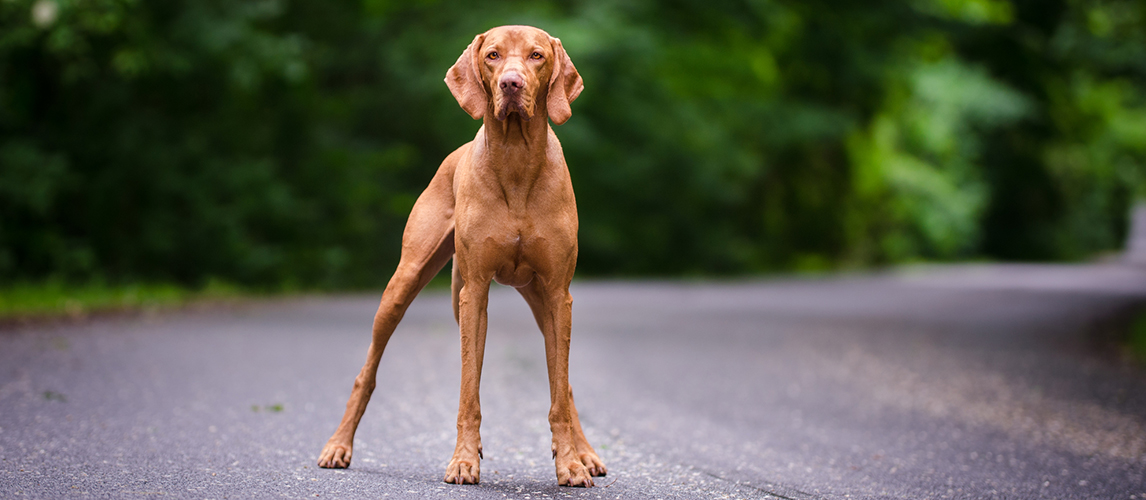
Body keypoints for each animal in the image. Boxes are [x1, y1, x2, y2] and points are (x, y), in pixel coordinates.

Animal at [309, 25, 605, 486]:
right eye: (493, 55)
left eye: (536, 56)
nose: (511, 84)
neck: (517, 160)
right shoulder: (475, 292)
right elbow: (469, 390)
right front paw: (464, 460)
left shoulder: (559, 294)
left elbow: (559, 392)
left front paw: (571, 463)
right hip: (404, 284)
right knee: (366, 374)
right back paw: (338, 446)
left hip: (542, 301)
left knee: (566, 383)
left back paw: (585, 453)